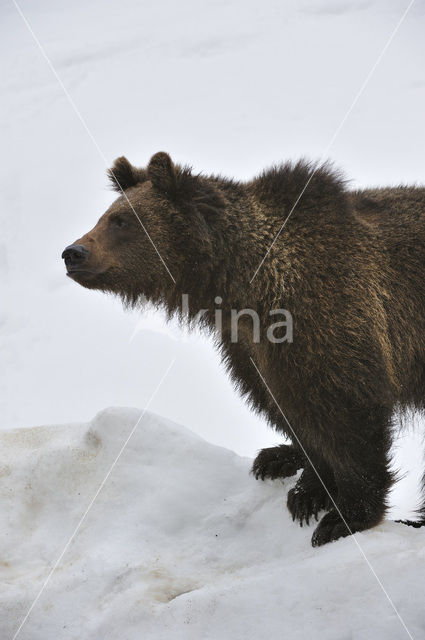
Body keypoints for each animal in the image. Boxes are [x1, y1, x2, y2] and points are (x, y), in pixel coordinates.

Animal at [61, 151, 424, 544]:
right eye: (106, 215)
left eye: (122, 220)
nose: (73, 252)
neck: (248, 290)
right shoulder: (251, 347)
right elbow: (286, 407)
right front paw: (304, 488)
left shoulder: (330, 317)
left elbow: (347, 413)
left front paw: (344, 516)